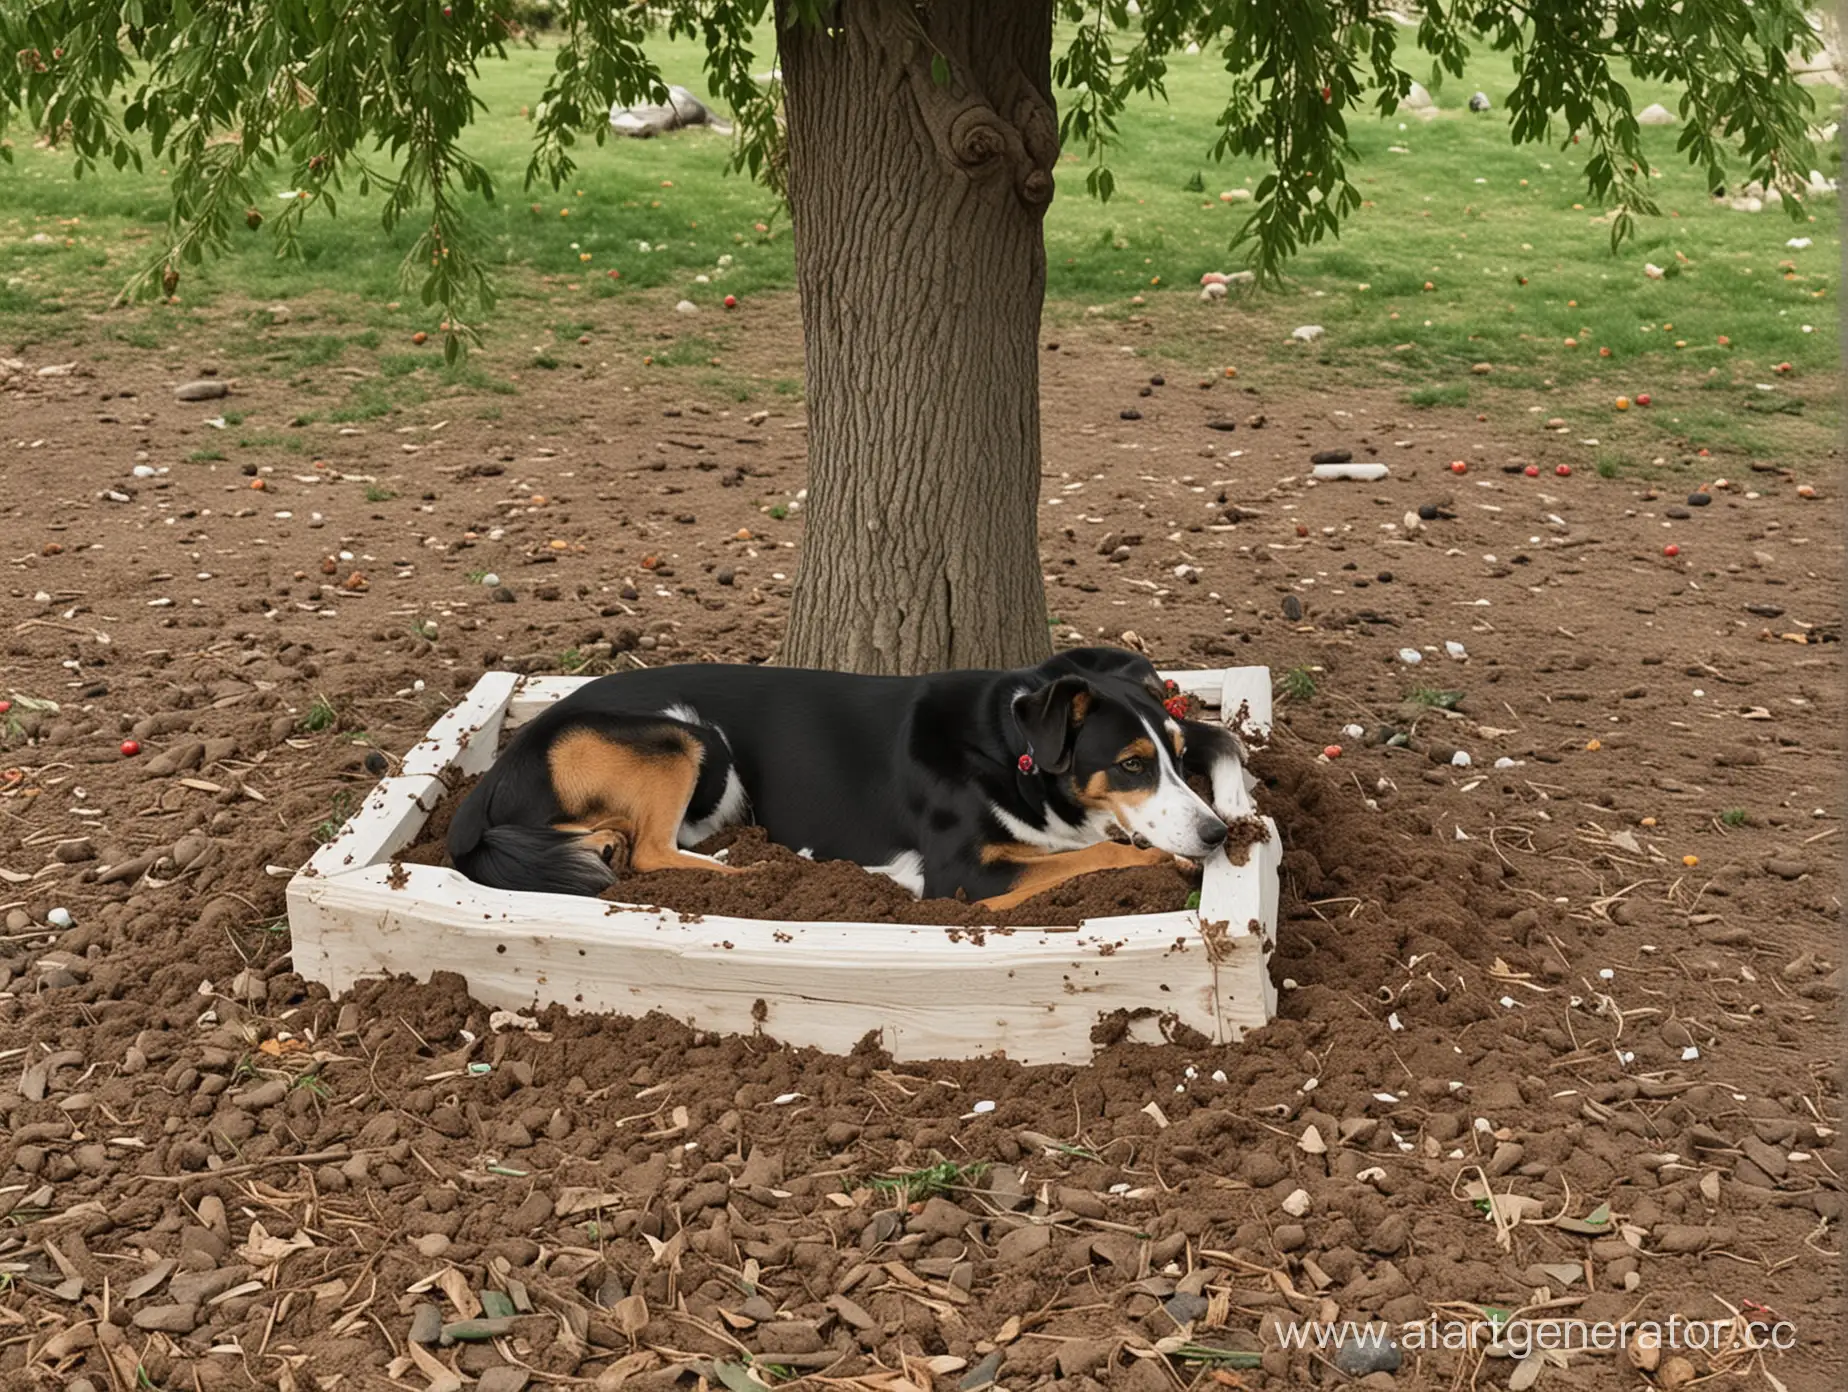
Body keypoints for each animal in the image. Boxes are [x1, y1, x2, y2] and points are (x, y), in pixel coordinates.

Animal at [447, 650, 1256, 913]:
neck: (1012, 749)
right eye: (1130, 765)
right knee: (651, 852)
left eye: (1172, 755)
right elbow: (1095, 852)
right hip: (685, 735)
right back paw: (756, 874)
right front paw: (1165, 860)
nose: (1218, 834)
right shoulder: (962, 877)